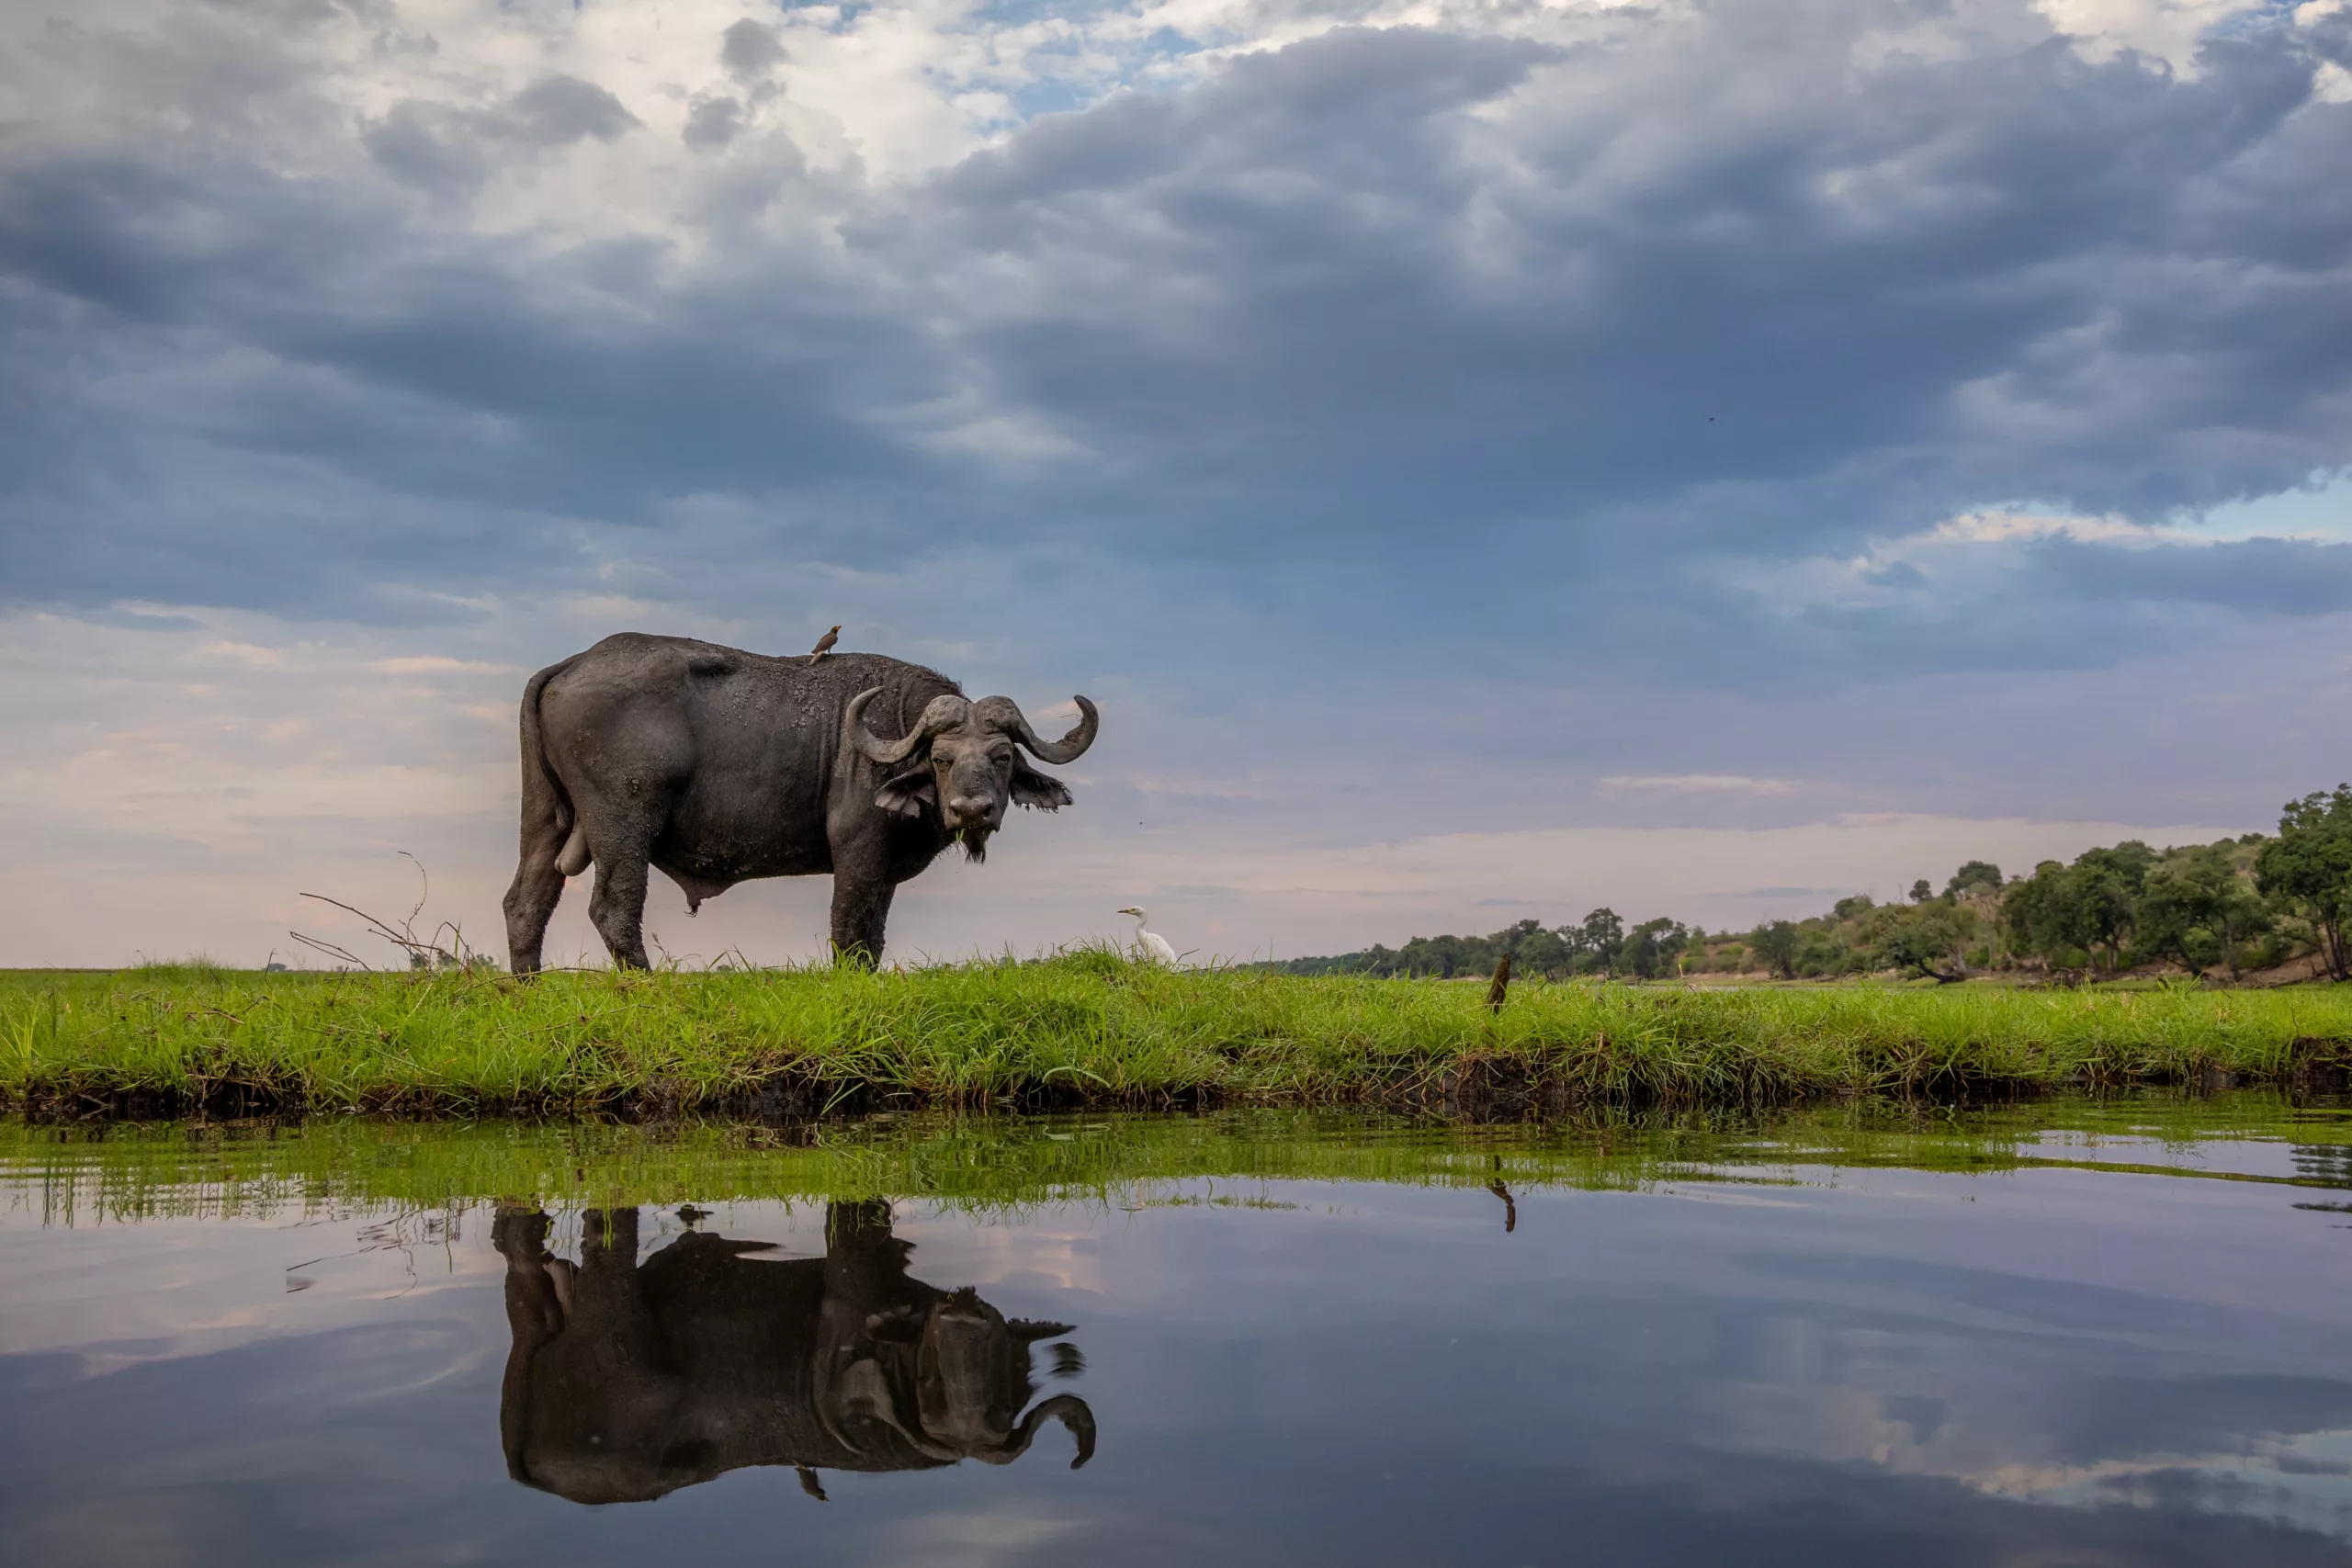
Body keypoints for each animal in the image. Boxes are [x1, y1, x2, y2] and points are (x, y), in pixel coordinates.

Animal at [496, 1203, 1101, 1504]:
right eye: (932, 1385)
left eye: (1002, 1404)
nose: (964, 1318)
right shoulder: (850, 1290)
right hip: (617, 1323)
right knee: (605, 1244)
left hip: (528, 1327)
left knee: (519, 1256)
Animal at [498, 629, 1101, 968]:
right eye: (941, 758)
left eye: (1001, 757)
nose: (972, 810)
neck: (893, 729)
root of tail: (574, 663)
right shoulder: (857, 854)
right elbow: (849, 933)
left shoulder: (885, 871)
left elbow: (874, 940)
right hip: (624, 822)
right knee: (614, 908)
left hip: (546, 820)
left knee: (525, 903)